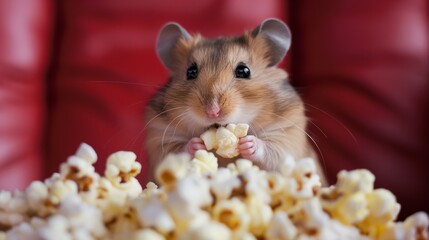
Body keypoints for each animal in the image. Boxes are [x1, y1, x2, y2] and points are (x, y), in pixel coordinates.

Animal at [144, 18, 324, 183]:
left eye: (244, 71)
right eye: (191, 72)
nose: (213, 111)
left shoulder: (288, 133)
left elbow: (275, 151)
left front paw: (248, 143)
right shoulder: (159, 136)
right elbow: (173, 152)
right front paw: (197, 145)